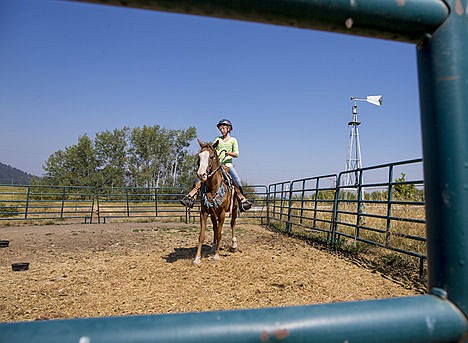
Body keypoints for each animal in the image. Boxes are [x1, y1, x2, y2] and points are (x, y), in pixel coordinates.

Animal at [193, 138, 238, 266]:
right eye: (199, 156)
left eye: (212, 156)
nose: (201, 174)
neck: (212, 188)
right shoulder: (204, 212)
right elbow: (202, 235)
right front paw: (197, 258)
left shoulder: (222, 213)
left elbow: (219, 233)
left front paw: (217, 256)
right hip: (213, 214)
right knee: (214, 226)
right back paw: (213, 247)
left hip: (234, 210)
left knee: (232, 224)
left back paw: (234, 245)